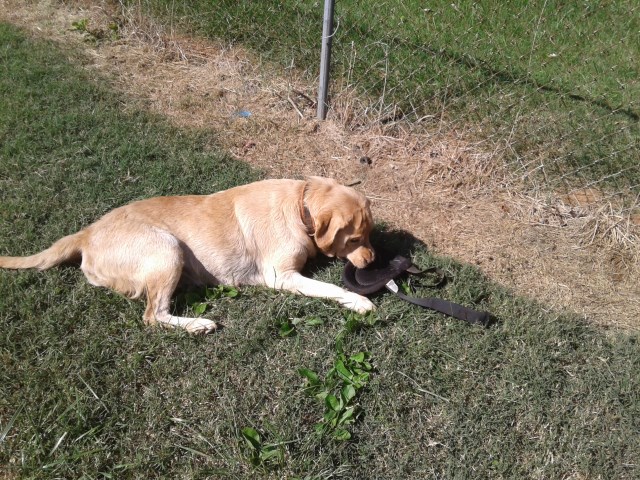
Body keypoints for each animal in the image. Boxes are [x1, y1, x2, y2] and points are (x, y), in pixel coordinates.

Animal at [0, 177, 376, 334]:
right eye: (356, 238)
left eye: (371, 232)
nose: (373, 261)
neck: (301, 205)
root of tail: (87, 233)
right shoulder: (280, 276)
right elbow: (331, 288)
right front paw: (359, 301)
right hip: (167, 249)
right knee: (153, 316)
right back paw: (198, 324)